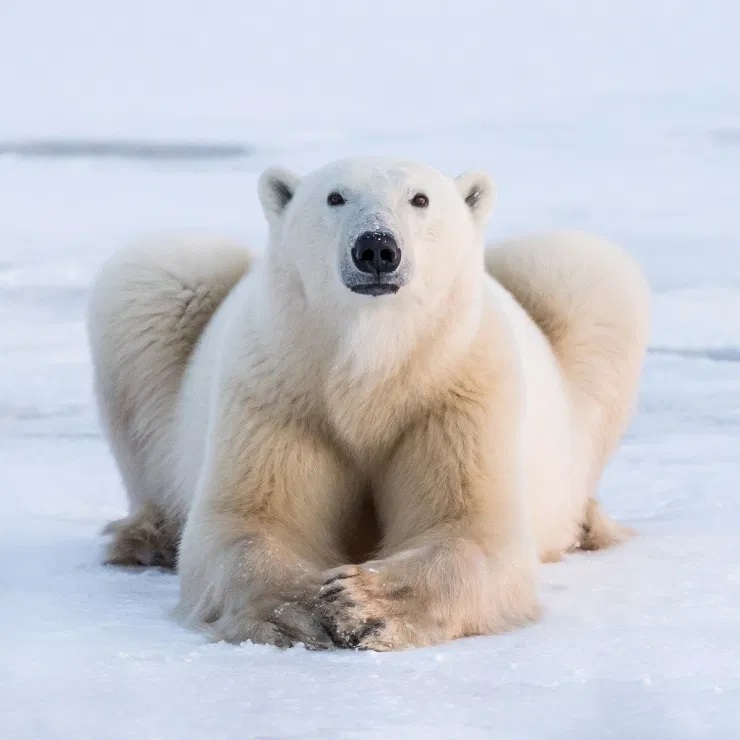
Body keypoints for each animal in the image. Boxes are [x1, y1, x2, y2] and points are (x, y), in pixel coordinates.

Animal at [87, 157, 650, 651]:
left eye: (420, 198)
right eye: (335, 197)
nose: (377, 247)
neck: (369, 363)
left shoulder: (454, 388)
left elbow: (471, 527)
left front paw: (364, 604)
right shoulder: (281, 387)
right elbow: (248, 523)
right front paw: (303, 611)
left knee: (580, 271)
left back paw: (589, 524)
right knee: (159, 273)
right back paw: (146, 537)